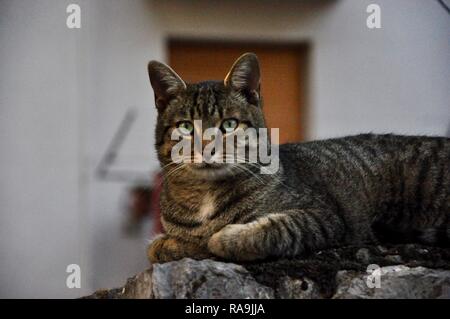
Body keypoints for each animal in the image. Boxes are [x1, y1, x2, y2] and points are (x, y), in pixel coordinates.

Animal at [146, 52, 448, 264]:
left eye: (229, 124)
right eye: (186, 127)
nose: (207, 148)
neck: (205, 196)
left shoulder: (323, 217)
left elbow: (275, 228)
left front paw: (222, 238)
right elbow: (169, 244)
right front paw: (171, 243)